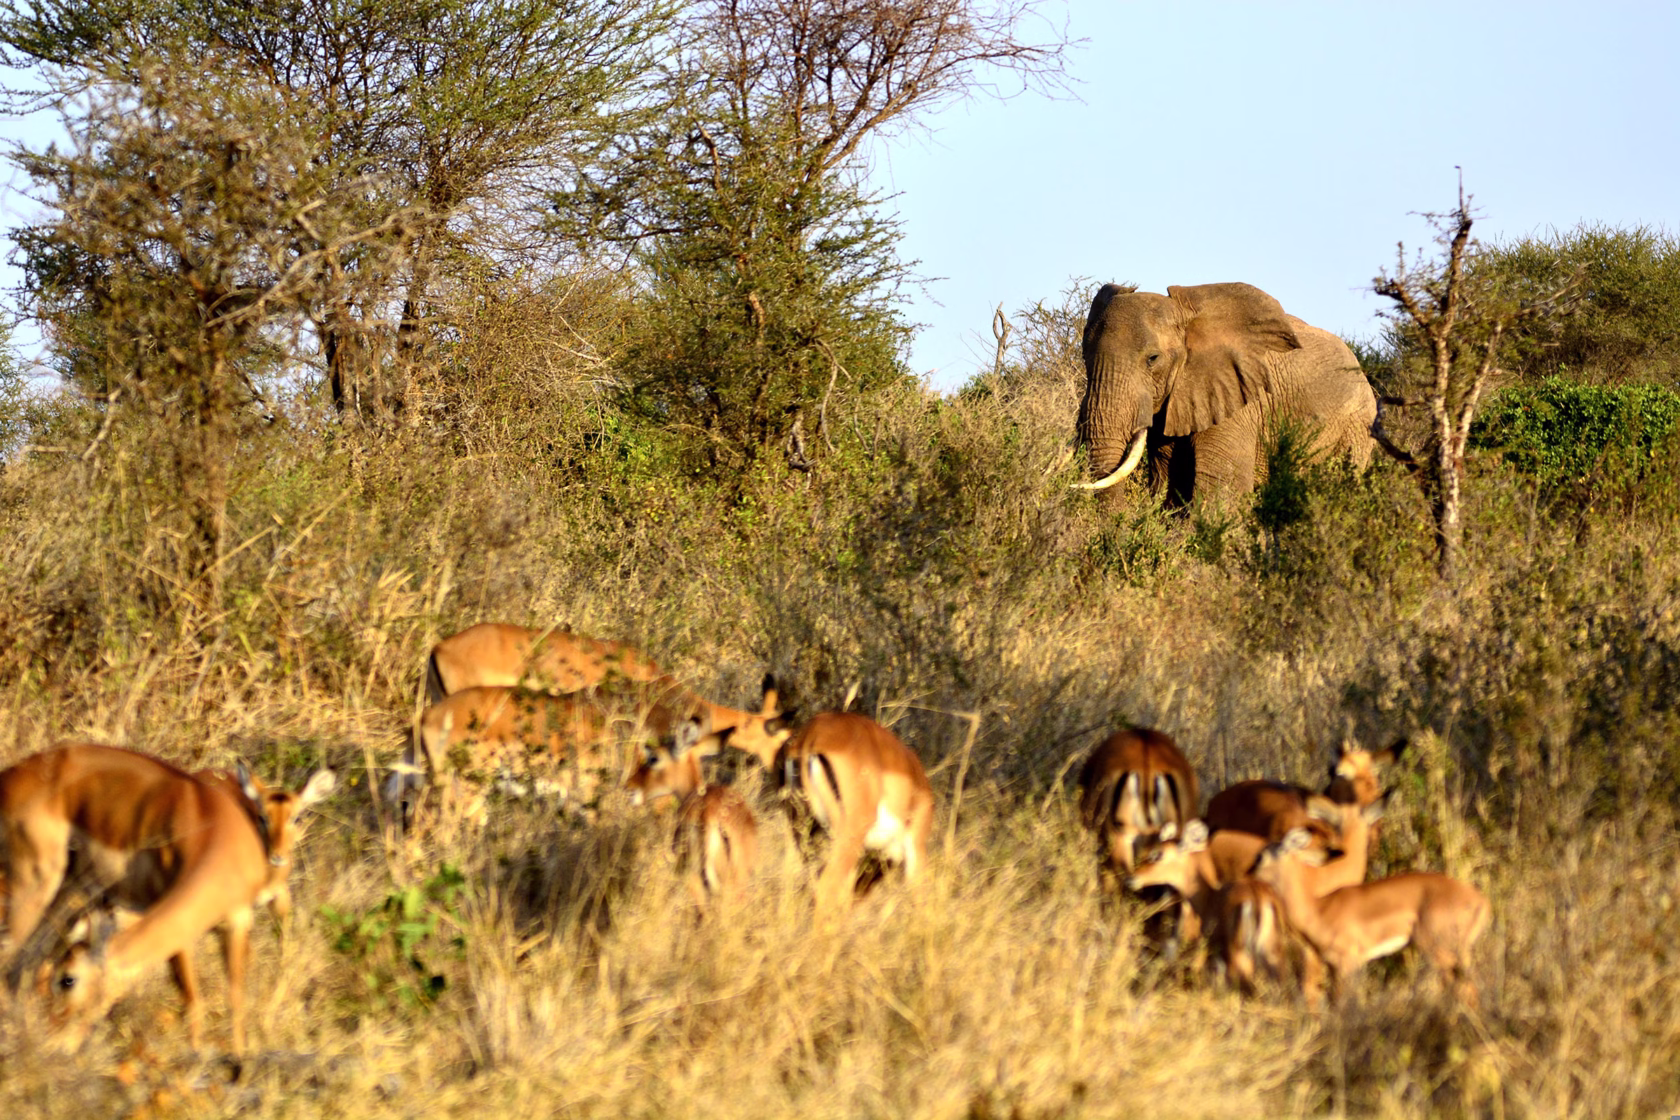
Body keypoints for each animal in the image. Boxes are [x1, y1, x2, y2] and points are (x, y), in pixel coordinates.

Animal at [1074, 282, 1378, 505]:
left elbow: (1222, 489)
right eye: (1085, 356)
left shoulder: (1237, 399)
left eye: (1152, 359)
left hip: (1356, 426)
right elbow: (1172, 484)